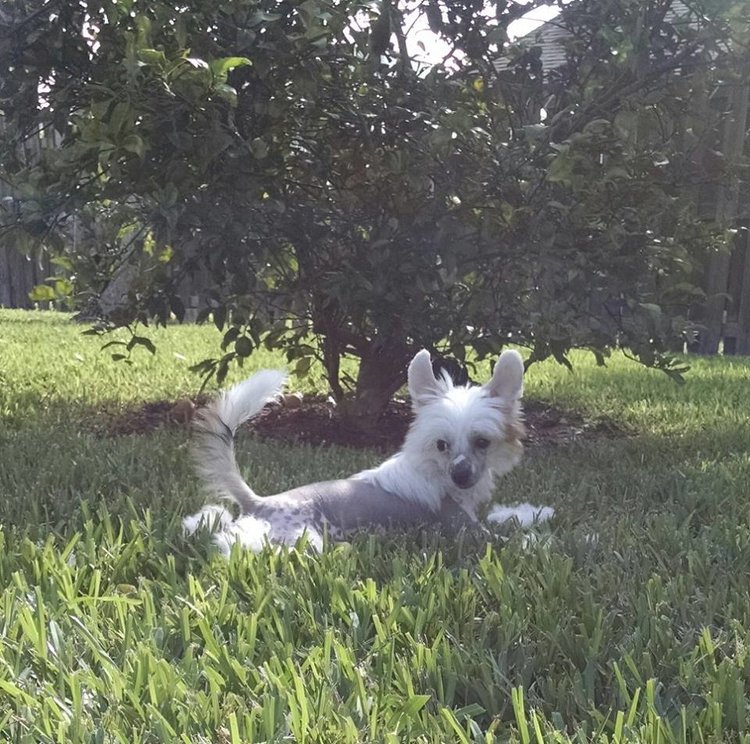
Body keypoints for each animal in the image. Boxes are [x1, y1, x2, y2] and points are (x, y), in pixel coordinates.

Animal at [185, 348, 556, 552]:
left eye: (482, 442)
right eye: (442, 445)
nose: (461, 475)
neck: (435, 474)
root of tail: (259, 502)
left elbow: (511, 517)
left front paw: (538, 513)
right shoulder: (470, 533)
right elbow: (517, 541)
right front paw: (552, 543)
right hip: (301, 538)